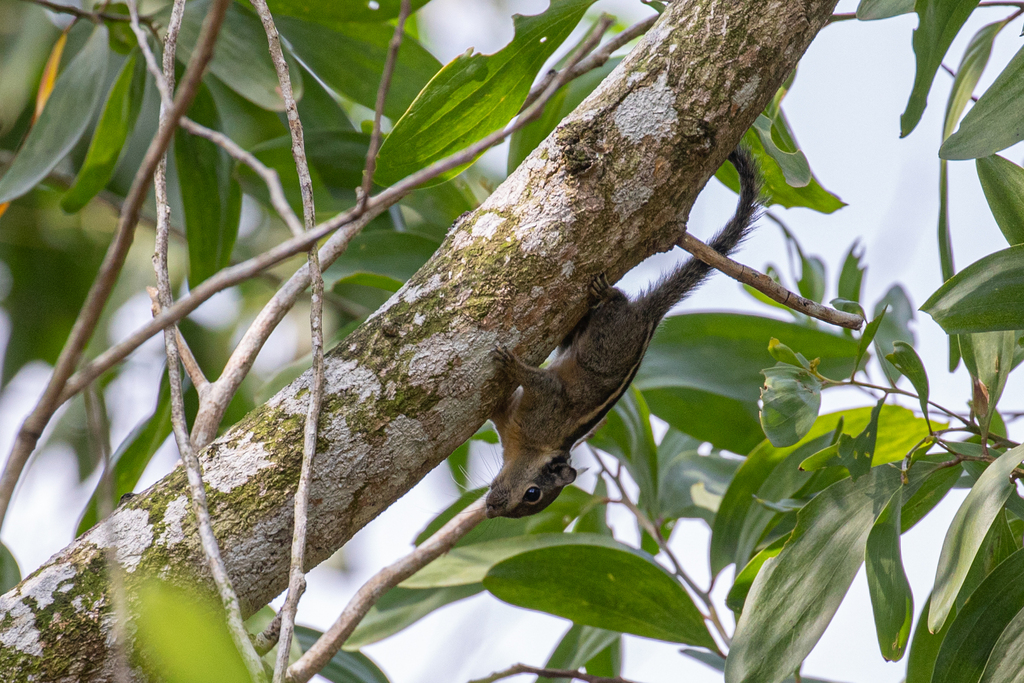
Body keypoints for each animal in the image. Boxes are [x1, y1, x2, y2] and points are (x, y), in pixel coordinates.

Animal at [485, 147, 763, 519]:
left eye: (532, 496)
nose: (490, 510)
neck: (530, 446)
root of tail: (648, 317)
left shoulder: (548, 399)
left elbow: (538, 381)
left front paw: (510, 365)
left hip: (606, 339)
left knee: (617, 304)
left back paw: (607, 293)